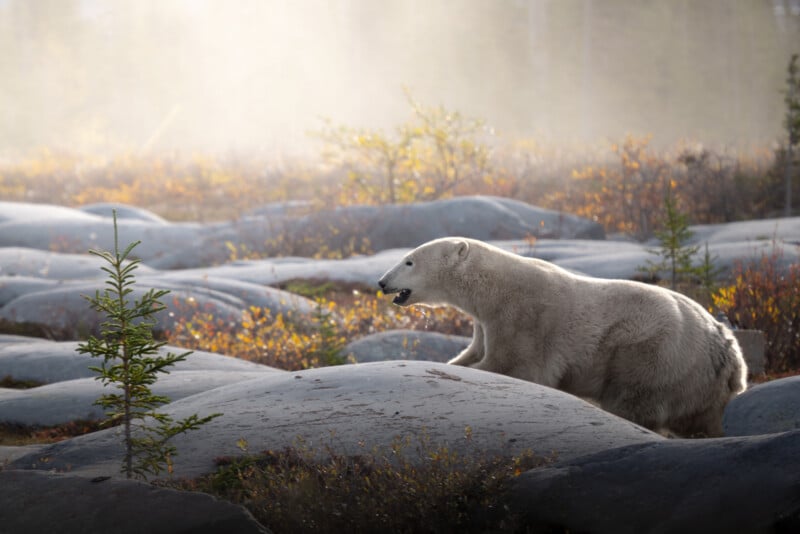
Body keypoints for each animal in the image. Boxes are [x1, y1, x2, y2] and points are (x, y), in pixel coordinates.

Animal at [378, 237, 747, 437]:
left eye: (408, 261)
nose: (382, 282)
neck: (492, 288)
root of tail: (728, 351)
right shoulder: (485, 324)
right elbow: (471, 355)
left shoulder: (523, 317)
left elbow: (514, 366)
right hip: (698, 380)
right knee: (699, 419)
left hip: (651, 350)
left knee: (632, 398)